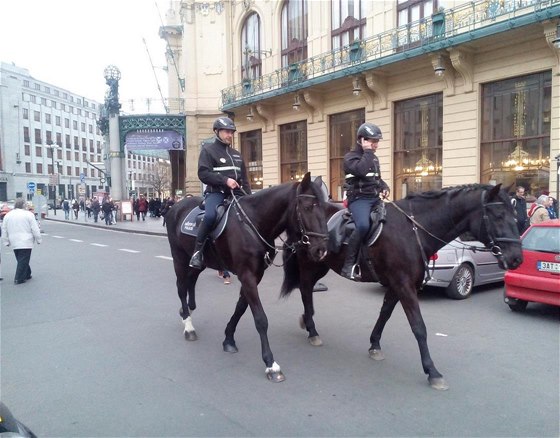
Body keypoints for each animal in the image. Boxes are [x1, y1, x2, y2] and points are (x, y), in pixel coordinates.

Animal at [166, 173, 330, 382]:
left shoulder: (254, 275)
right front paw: (271, 364)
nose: (321, 250)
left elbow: (241, 307)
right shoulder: (247, 275)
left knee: (191, 280)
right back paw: (188, 326)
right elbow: (260, 318)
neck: (253, 224)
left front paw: (228, 338)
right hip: (179, 257)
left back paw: (187, 309)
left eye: (325, 208)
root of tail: (175, 207)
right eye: (308, 207)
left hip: (200, 262)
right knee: (181, 287)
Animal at [280, 183, 520, 388]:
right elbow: (419, 327)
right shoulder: (404, 286)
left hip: (321, 264)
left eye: (515, 216)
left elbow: (384, 314)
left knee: (308, 290)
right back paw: (312, 330)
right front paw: (432, 371)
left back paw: (307, 322)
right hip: (310, 263)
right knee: (305, 290)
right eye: (499, 216)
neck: (413, 231)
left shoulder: (397, 285)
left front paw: (374, 345)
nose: (517, 258)